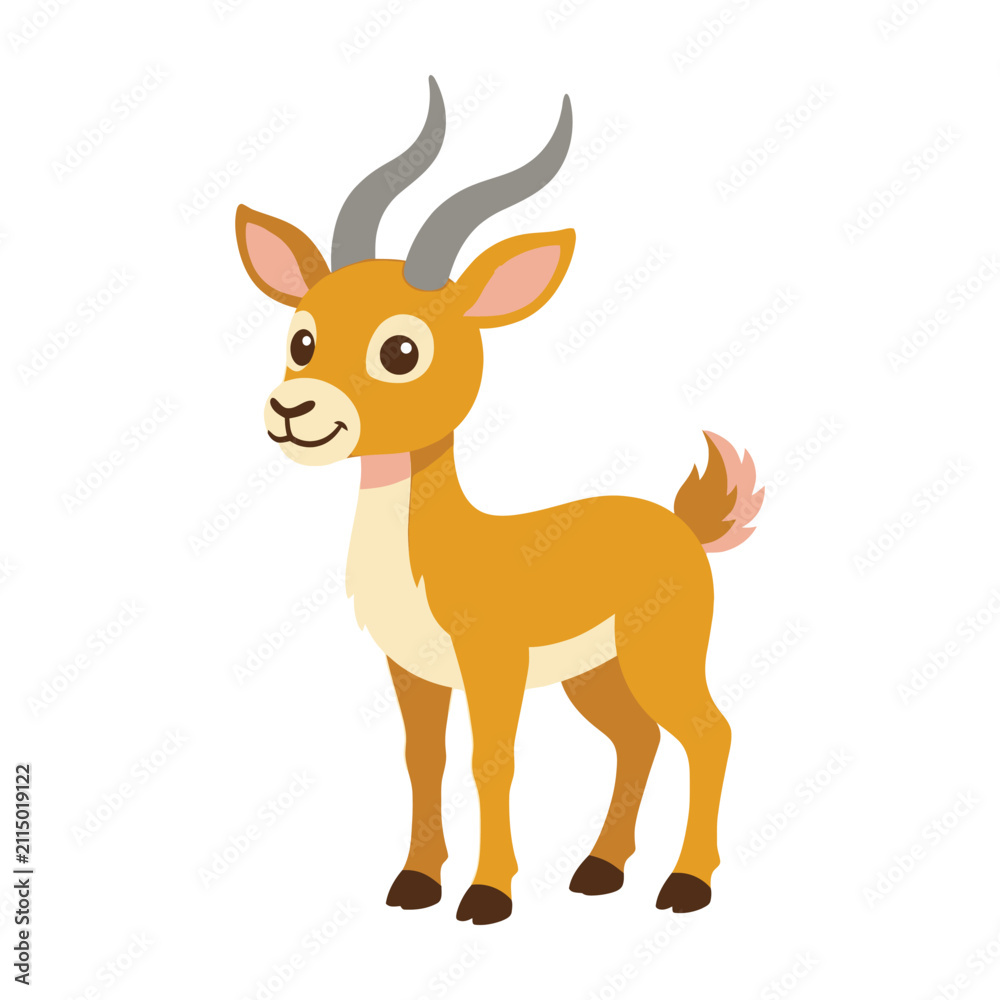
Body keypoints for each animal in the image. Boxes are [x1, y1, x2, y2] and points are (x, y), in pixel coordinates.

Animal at [235, 77, 762, 925]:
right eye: (303, 339)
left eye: (401, 349)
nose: (295, 410)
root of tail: (682, 522)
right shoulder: (414, 670)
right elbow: (423, 758)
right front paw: (416, 883)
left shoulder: (494, 665)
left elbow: (493, 759)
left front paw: (488, 894)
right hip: (597, 674)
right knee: (638, 741)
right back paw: (600, 870)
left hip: (663, 655)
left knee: (708, 733)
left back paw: (686, 885)